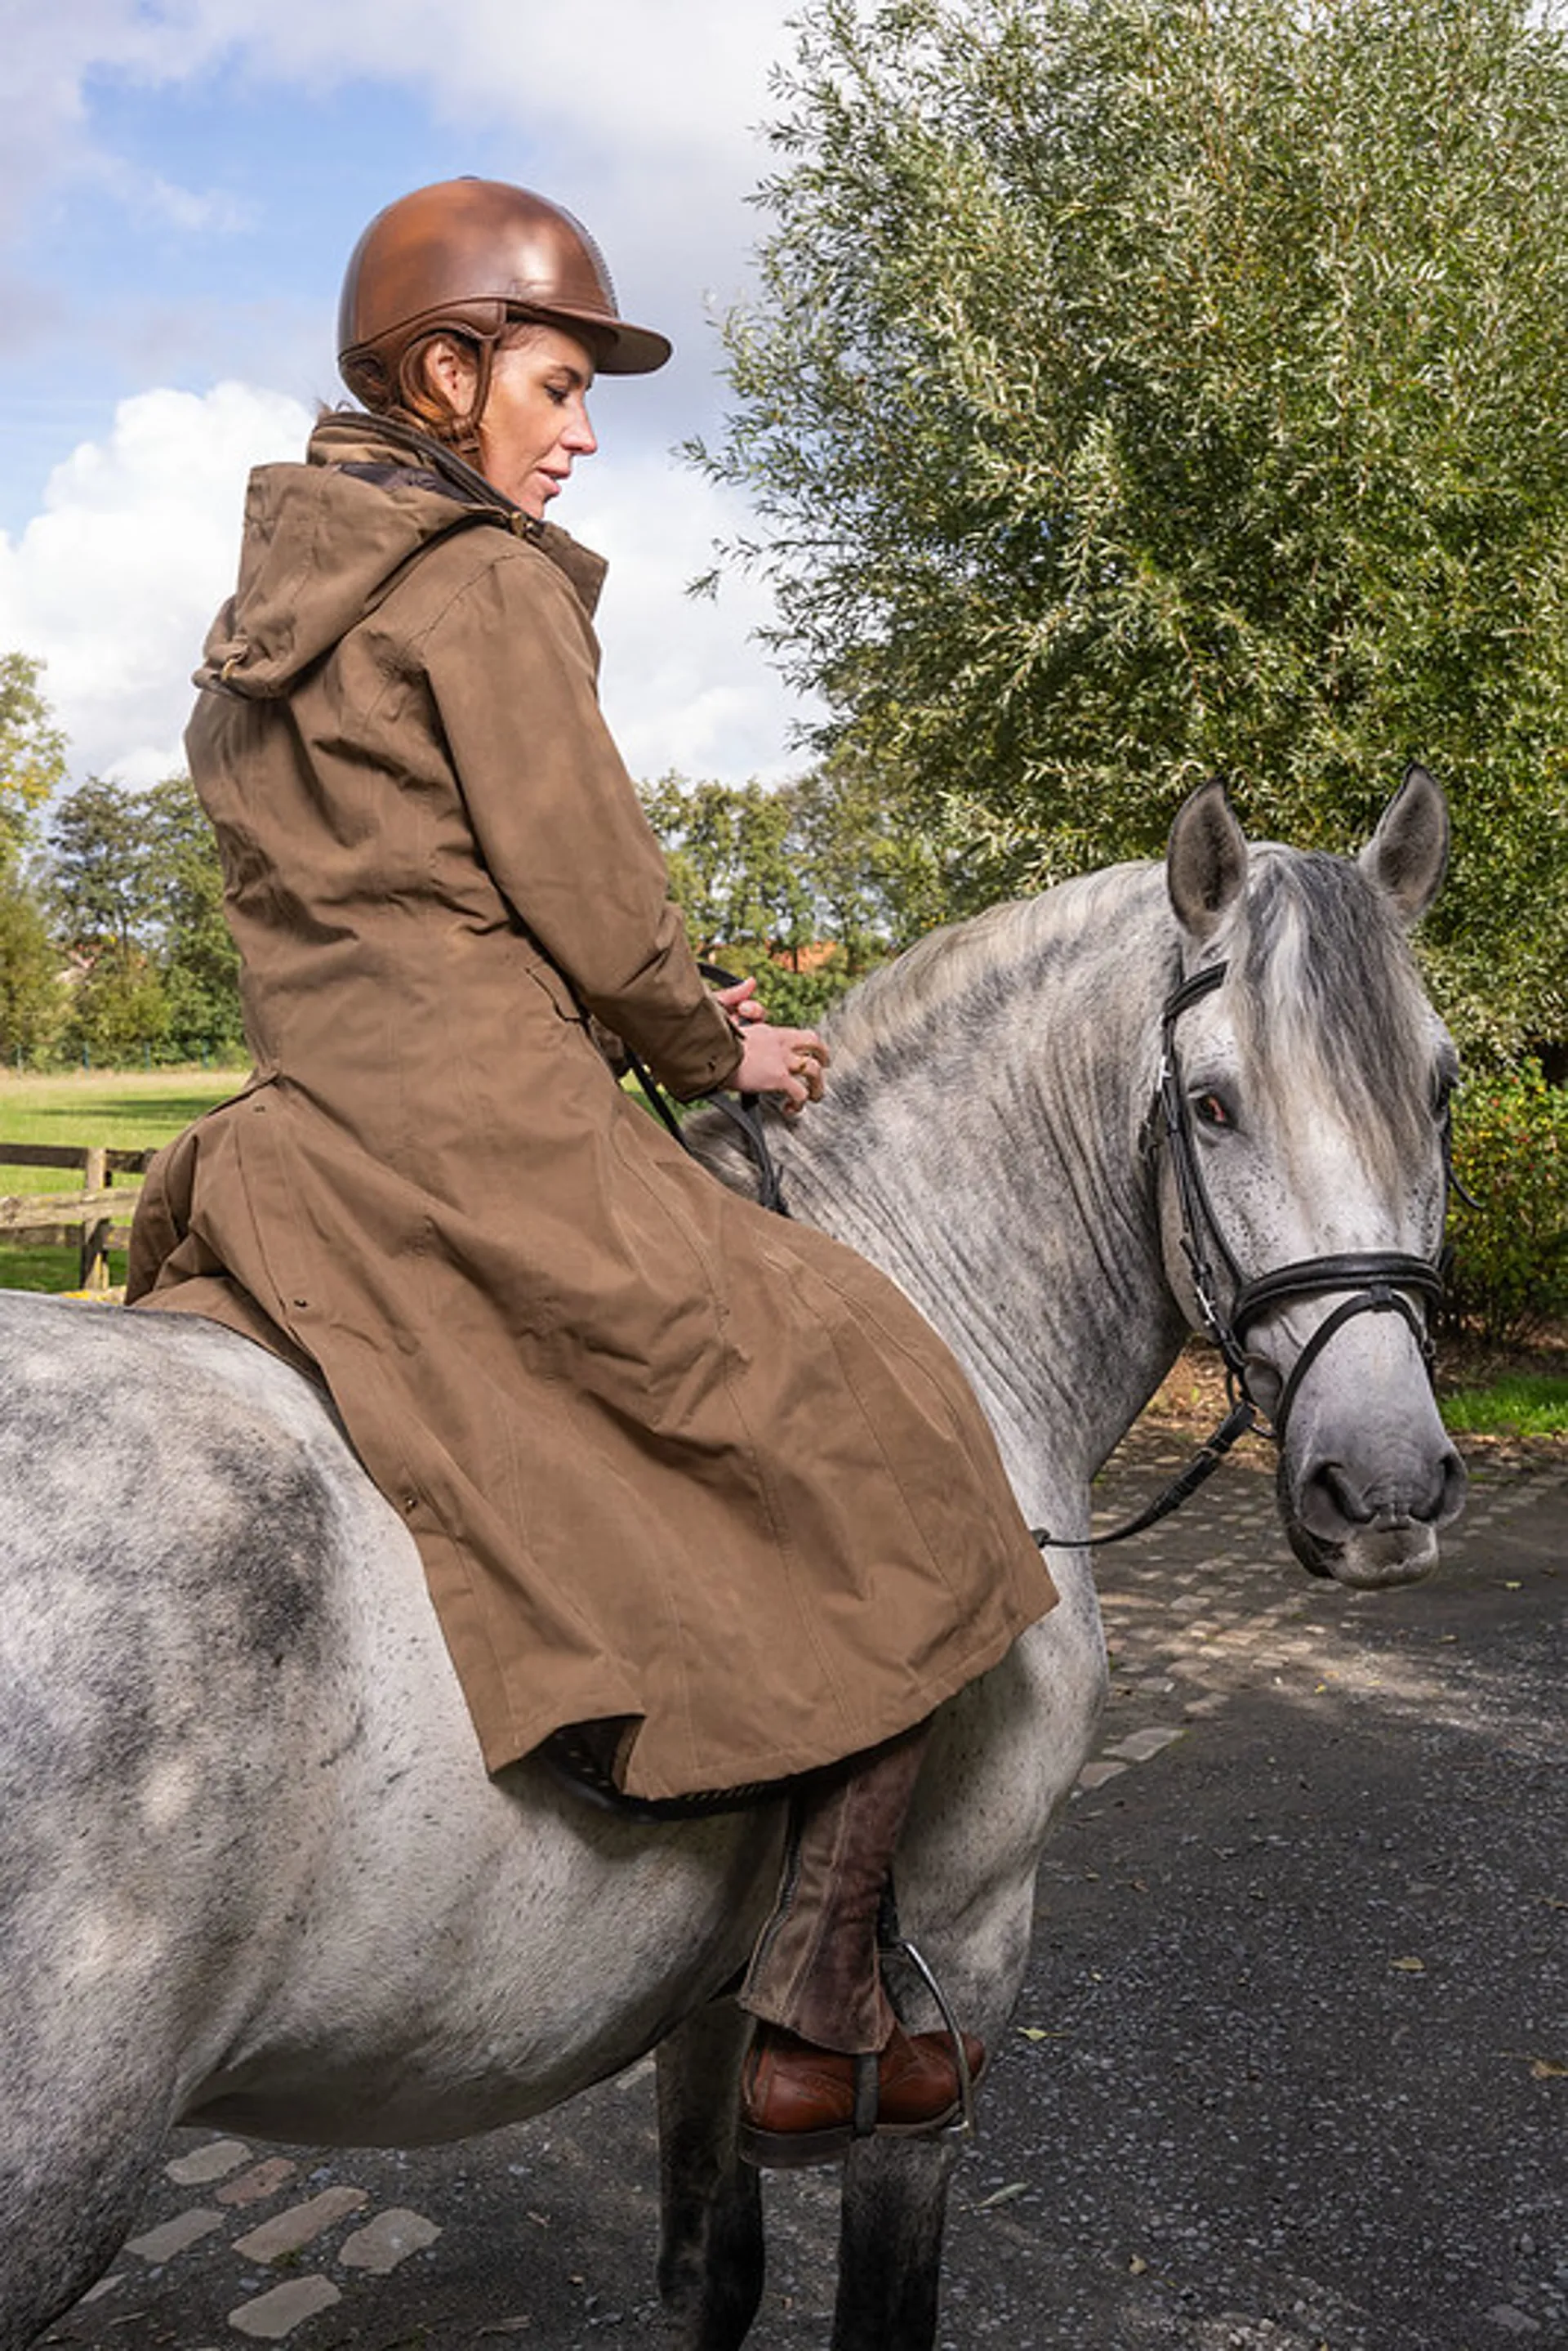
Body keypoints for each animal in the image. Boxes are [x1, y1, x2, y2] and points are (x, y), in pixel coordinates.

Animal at [0, 773, 1464, 2351]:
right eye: (1211, 1103)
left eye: (1441, 1086)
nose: (1384, 1480)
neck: (939, 1289)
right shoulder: (958, 1966)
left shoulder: (711, 2000)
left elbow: (716, 2264)